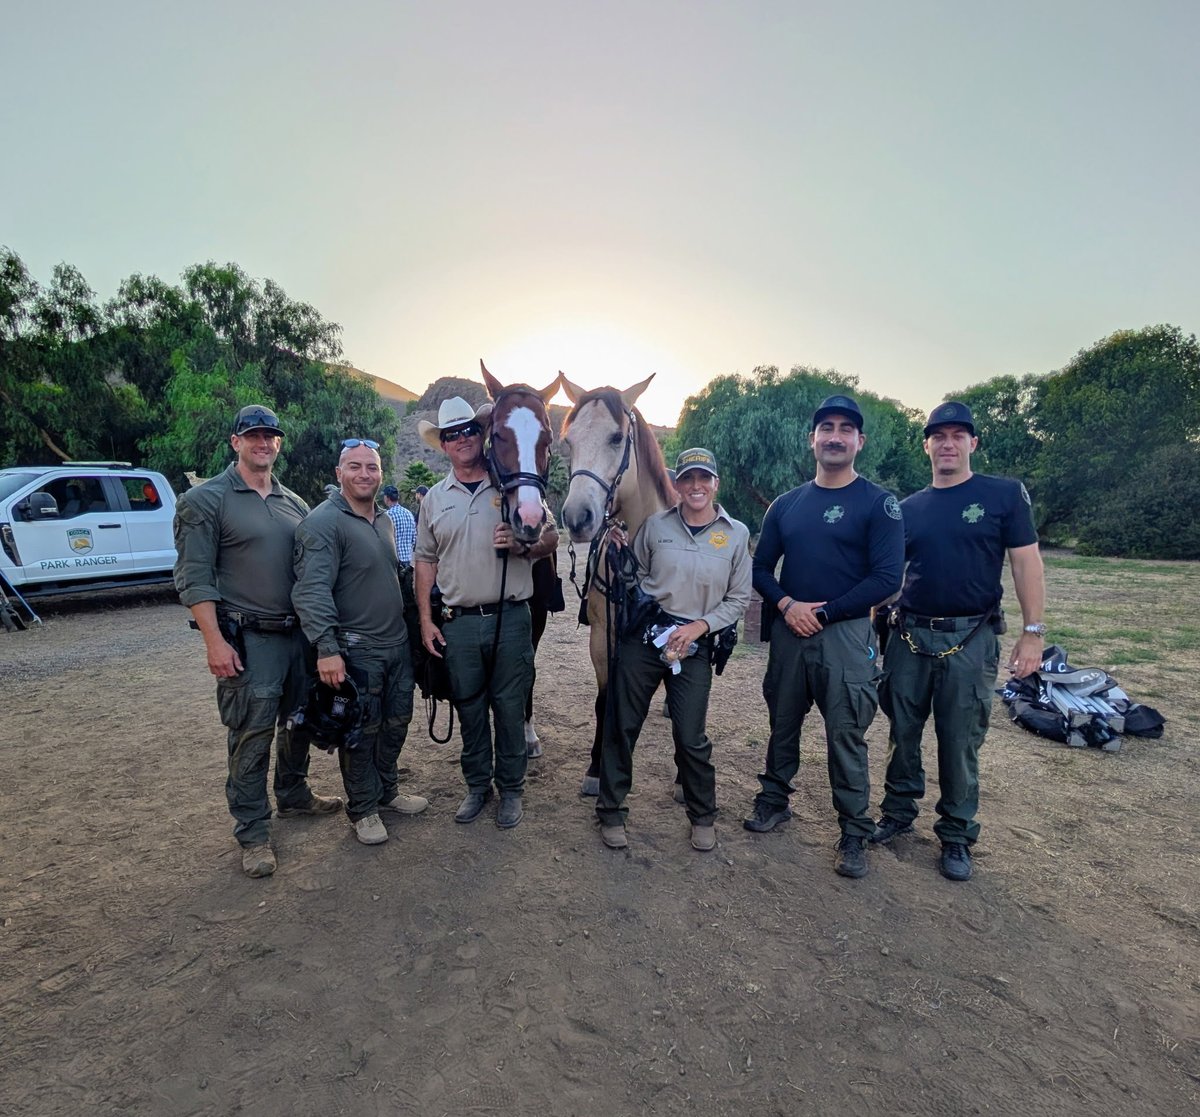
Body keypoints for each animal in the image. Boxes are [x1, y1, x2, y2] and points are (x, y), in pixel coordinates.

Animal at [559, 374, 675, 795]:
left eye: (616, 437)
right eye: (569, 440)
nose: (577, 517)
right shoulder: (603, 634)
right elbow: (606, 700)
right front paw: (597, 768)